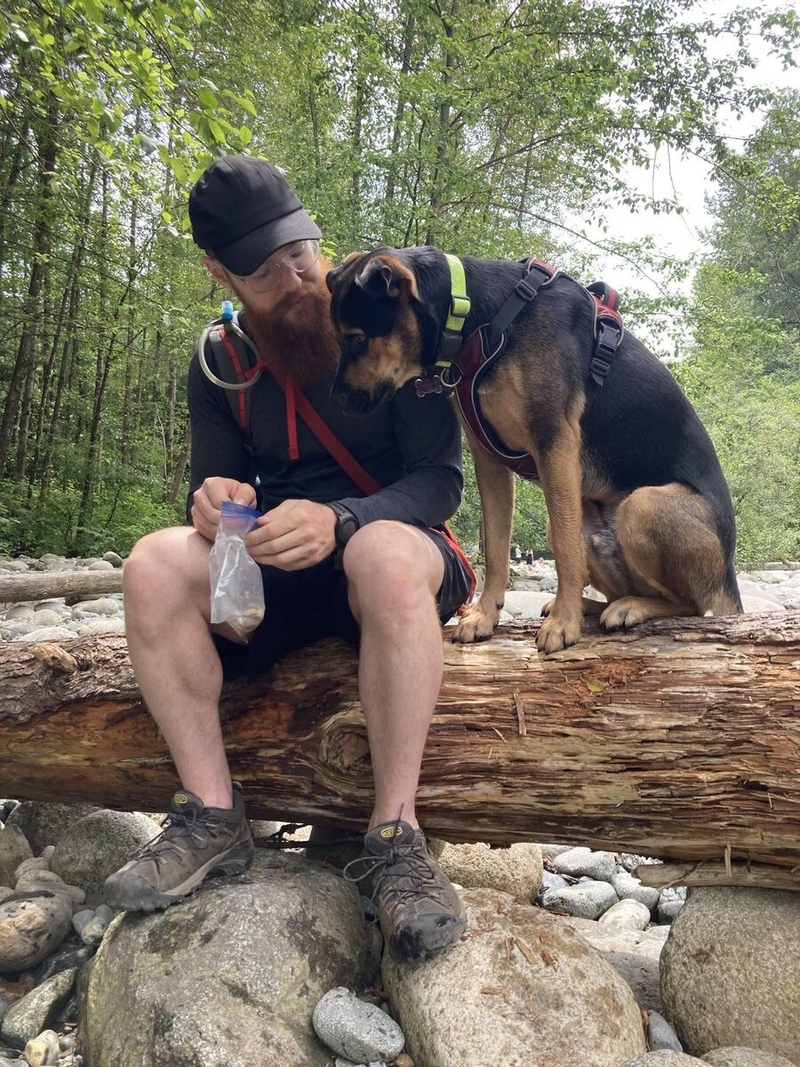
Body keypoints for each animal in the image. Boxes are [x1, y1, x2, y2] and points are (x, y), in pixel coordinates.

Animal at [326, 246, 746, 653]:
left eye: (357, 338)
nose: (336, 402)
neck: (482, 317)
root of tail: (728, 577)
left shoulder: (554, 444)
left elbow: (566, 554)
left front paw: (564, 623)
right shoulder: (488, 459)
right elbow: (496, 550)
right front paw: (485, 616)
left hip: (643, 505)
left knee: (691, 605)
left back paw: (626, 608)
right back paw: (595, 605)